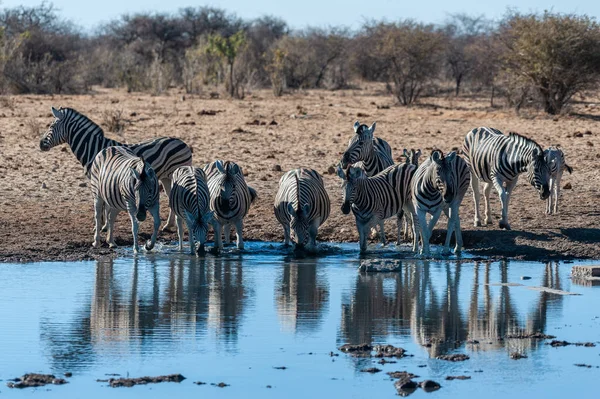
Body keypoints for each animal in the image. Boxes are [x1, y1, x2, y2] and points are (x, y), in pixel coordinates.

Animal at [39, 106, 192, 231]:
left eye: (51, 126)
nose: (40, 144)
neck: (92, 148)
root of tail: (183, 143)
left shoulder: (100, 179)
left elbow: (104, 205)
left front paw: (102, 226)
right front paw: (104, 225)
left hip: (174, 173)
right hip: (166, 178)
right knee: (171, 196)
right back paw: (168, 226)